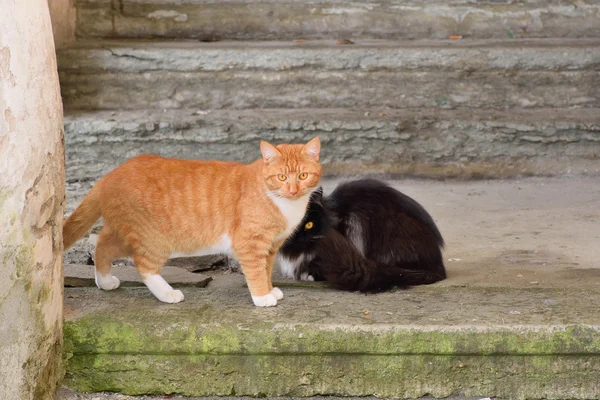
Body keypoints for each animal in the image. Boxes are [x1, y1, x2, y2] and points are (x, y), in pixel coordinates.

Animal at [63, 138, 322, 306]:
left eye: (302, 176)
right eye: (281, 177)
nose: (293, 189)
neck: (284, 204)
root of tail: (108, 176)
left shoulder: (270, 247)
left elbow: (266, 270)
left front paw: (269, 290)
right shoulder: (250, 243)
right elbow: (256, 271)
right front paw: (261, 297)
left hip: (125, 234)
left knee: (102, 245)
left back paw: (105, 281)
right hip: (153, 239)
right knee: (144, 266)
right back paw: (167, 294)